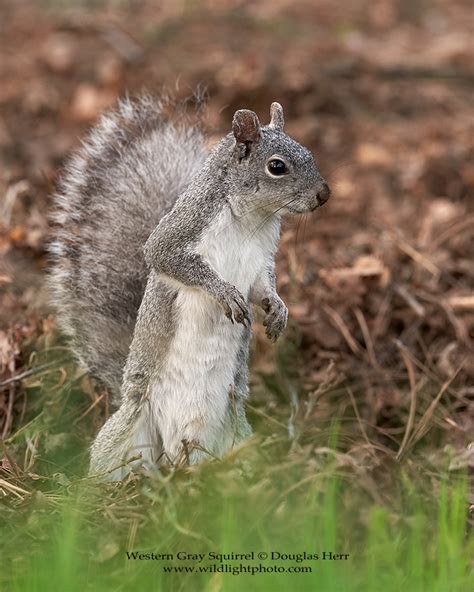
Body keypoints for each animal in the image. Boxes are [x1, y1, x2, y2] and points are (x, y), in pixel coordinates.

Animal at [48, 93, 330, 480]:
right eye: (277, 166)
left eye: (310, 153)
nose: (324, 194)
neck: (252, 219)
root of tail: (175, 456)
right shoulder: (181, 231)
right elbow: (168, 258)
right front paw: (224, 292)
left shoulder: (261, 260)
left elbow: (262, 288)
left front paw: (278, 309)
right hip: (129, 434)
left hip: (235, 432)